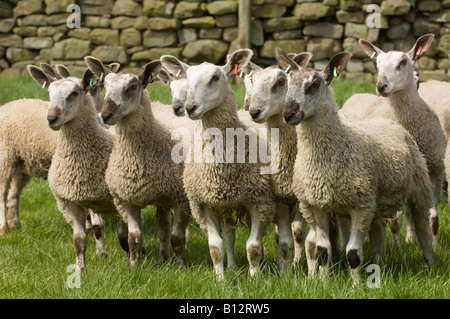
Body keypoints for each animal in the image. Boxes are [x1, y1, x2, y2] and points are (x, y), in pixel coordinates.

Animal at [85, 57, 192, 270]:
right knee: (162, 227)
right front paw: (134, 267)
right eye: (105, 85)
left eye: (132, 87)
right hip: (161, 198)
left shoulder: (181, 199)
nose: (106, 115)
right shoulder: (126, 200)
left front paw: (182, 267)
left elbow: (177, 238)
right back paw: (162, 259)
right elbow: (133, 238)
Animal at [278, 49, 432, 284]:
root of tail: (387, 121)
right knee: (378, 230)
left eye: (315, 84)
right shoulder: (314, 205)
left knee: (423, 229)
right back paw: (380, 264)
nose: (288, 114)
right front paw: (323, 283)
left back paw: (430, 264)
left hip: (418, 190)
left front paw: (356, 286)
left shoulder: (361, 206)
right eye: (287, 82)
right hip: (374, 200)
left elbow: (353, 253)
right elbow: (323, 251)